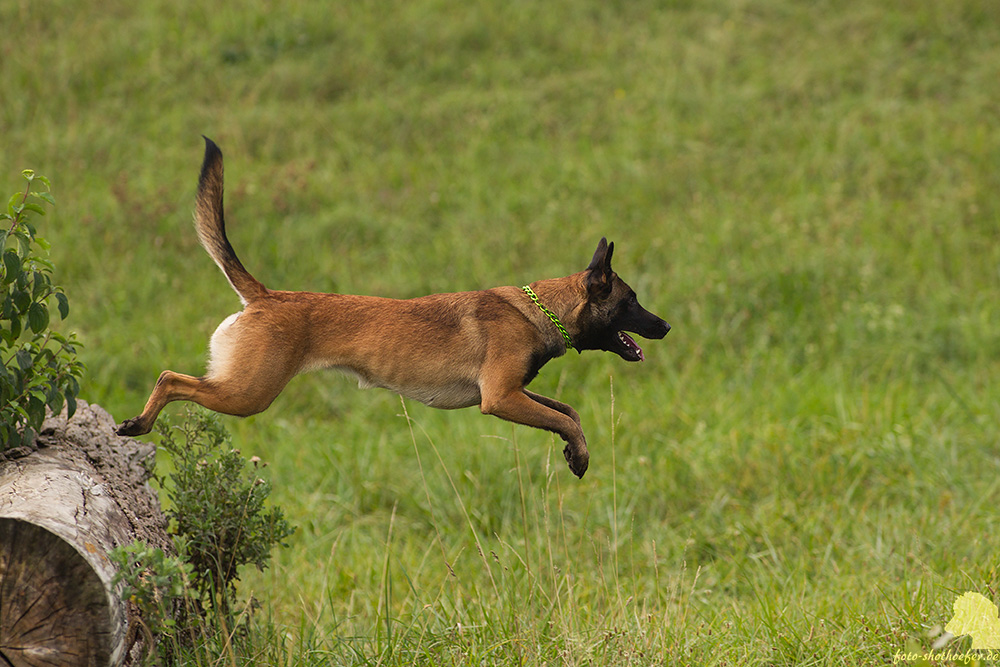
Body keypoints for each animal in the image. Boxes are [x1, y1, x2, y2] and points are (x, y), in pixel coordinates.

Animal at [115, 138, 672, 478]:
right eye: (631, 301)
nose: (666, 326)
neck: (539, 309)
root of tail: (266, 296)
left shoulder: (514, 392)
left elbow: (568, 411)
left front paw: (577, 451)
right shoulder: (500, 399)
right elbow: (564, 418)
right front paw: (578, 454)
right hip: (247, 392)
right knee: (170, 378)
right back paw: (137, 425)